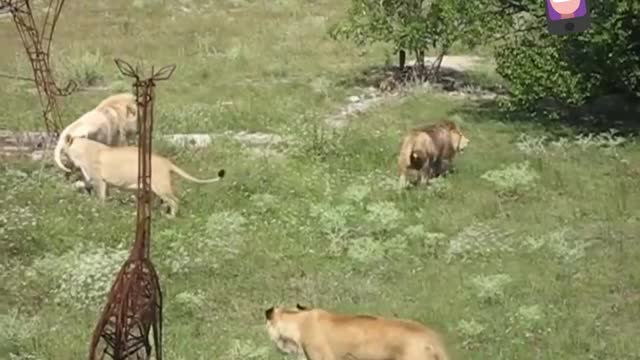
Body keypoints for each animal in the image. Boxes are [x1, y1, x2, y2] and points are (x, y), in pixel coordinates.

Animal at [60, 135, 225, 218]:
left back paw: (170, 217)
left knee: (174, 200)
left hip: (161, 186)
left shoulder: (98, 180)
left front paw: (100, 210)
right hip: (153, 189)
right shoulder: (99, 182)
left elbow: (100, 197)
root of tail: (166, 161)